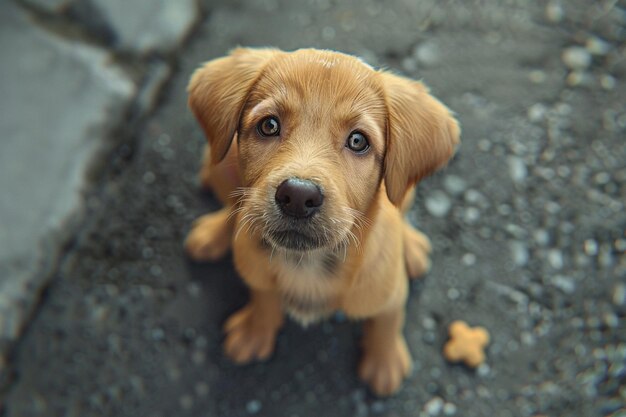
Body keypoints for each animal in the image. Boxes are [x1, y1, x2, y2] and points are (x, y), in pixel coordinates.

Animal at [183, 47, 456, 394]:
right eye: (269, 125)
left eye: (358, 141)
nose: (298, 196)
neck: (307, 265)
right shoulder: (257, 273)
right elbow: (263, 295)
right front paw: (256, 329)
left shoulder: (390, 293)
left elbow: (387, 321)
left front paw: (384, 362)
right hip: (219, 163)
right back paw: (213, 234)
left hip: (405, 191)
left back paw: (412, 247)